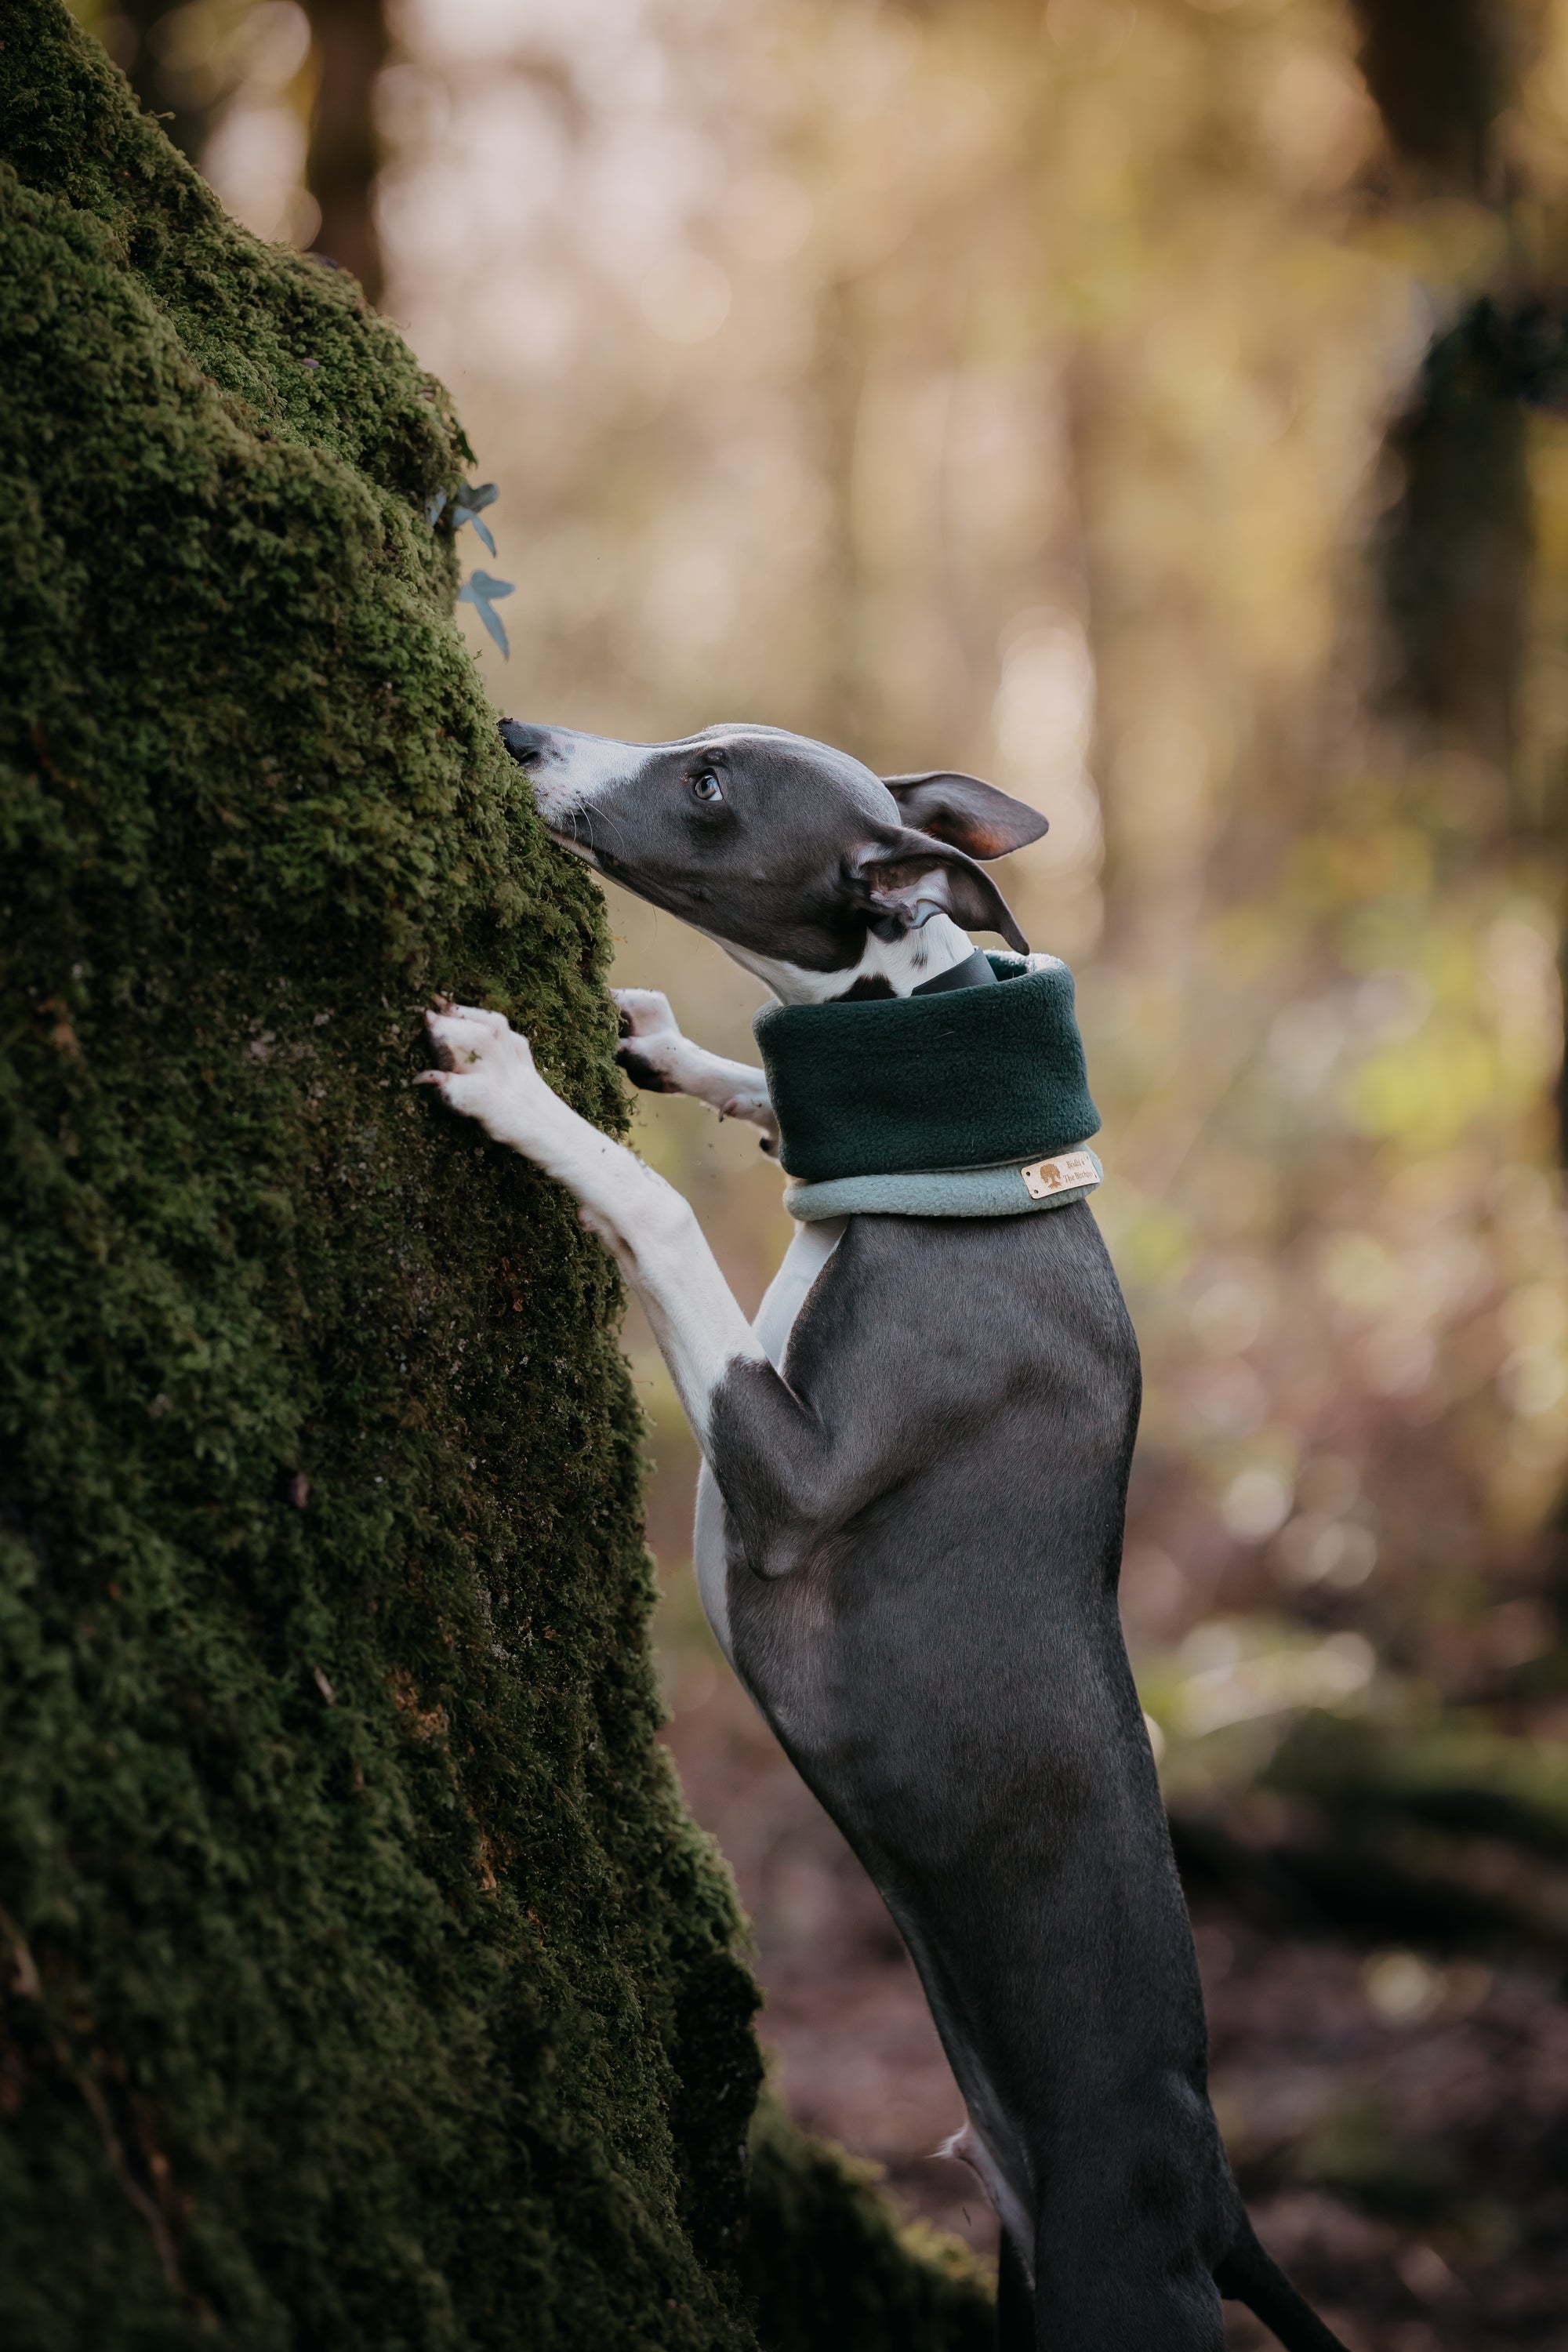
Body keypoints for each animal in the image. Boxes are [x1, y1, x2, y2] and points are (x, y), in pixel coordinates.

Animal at [416, 715, 1354, 2352]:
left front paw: (523, 1085)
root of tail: (1218, 2202)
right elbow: (760, 1106)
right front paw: (665, 1046)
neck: (966, 1177)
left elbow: (663, 1213)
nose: (521, 737)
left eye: (710, 785)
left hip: (1109, 2291)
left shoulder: (797, 1479)